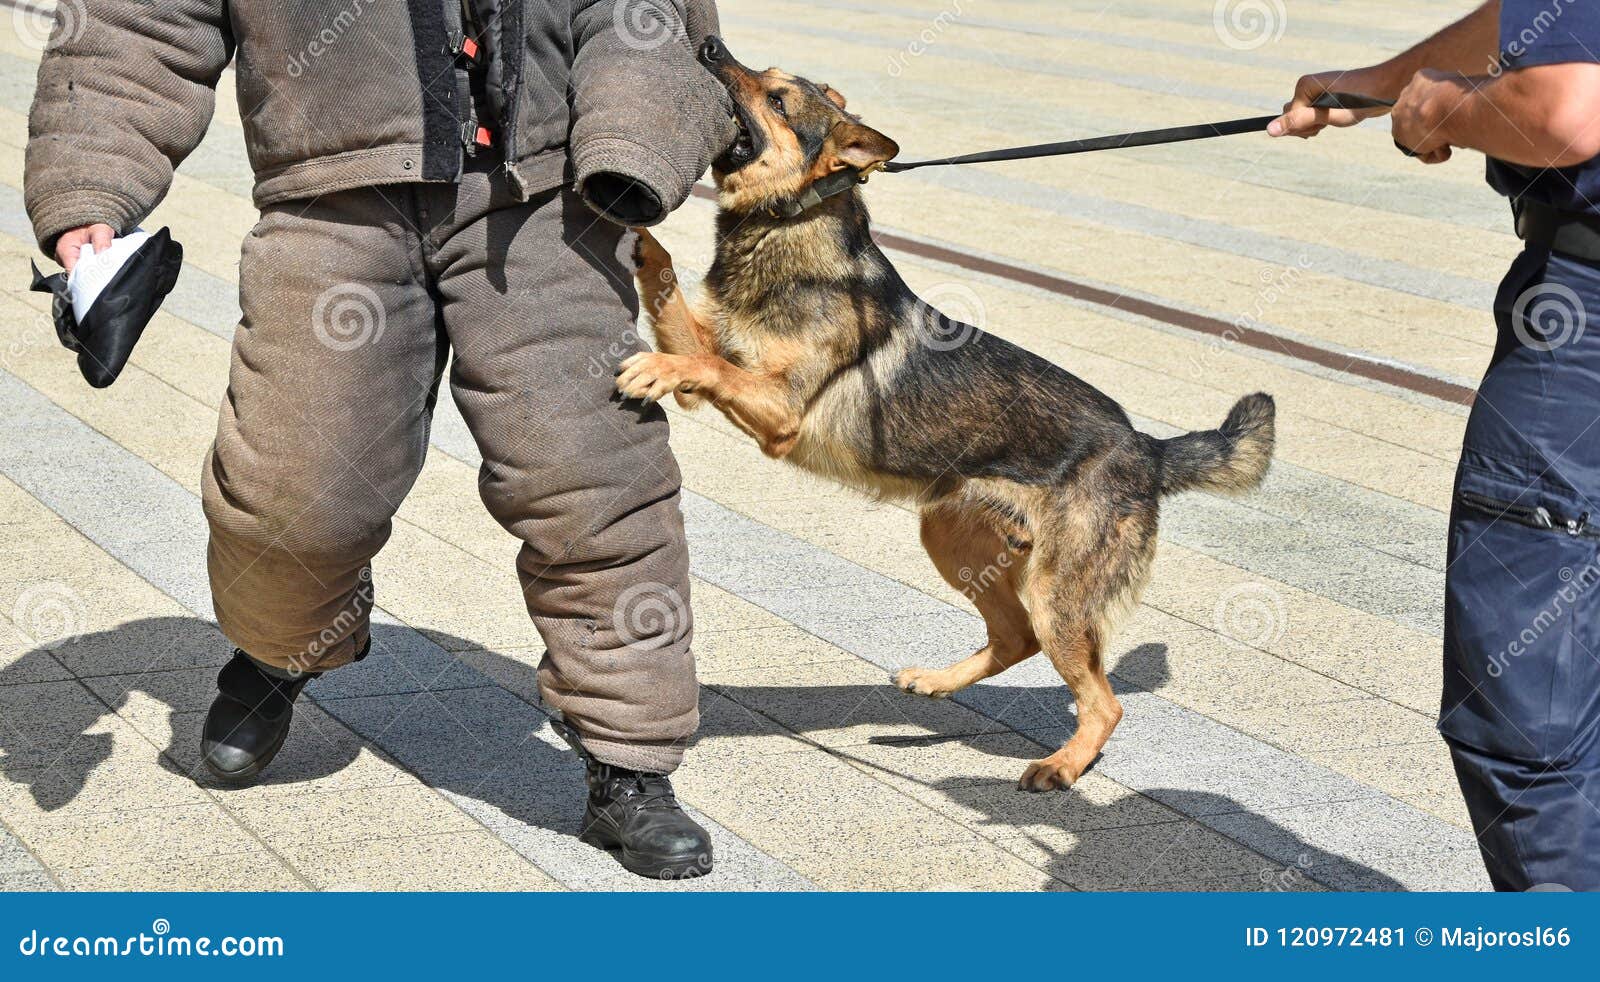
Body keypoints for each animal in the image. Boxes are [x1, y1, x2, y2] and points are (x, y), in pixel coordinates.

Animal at [614, 38, 1273, 793]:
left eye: (776, 98)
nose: (709, 46)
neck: (791, 221)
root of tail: (1148, 448)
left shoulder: (778, 411)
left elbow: (710, 365)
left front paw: (655, 366)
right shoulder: (719, 362)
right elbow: (676, 307)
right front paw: (645, 244)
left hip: (1057, 593)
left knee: (1102, 700)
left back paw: (1060, 767)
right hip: (953, 539)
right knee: (1014, 637)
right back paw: (936, 684)